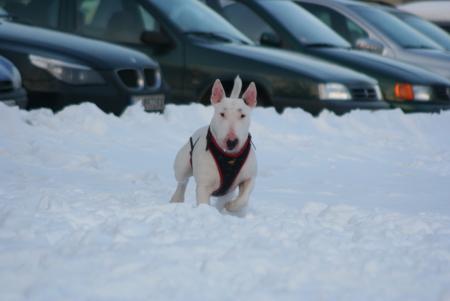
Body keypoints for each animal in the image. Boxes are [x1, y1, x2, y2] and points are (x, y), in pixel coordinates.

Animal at [171, 75, 258, 211]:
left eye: (242, 115)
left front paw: (230, 206)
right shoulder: (203, 186)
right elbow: (203, 202)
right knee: (182, 181)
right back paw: (176, 199)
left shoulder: (249, 177)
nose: (231, 142)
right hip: (182, 166)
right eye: (222, 114)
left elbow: (243, 197)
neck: (229, 156)